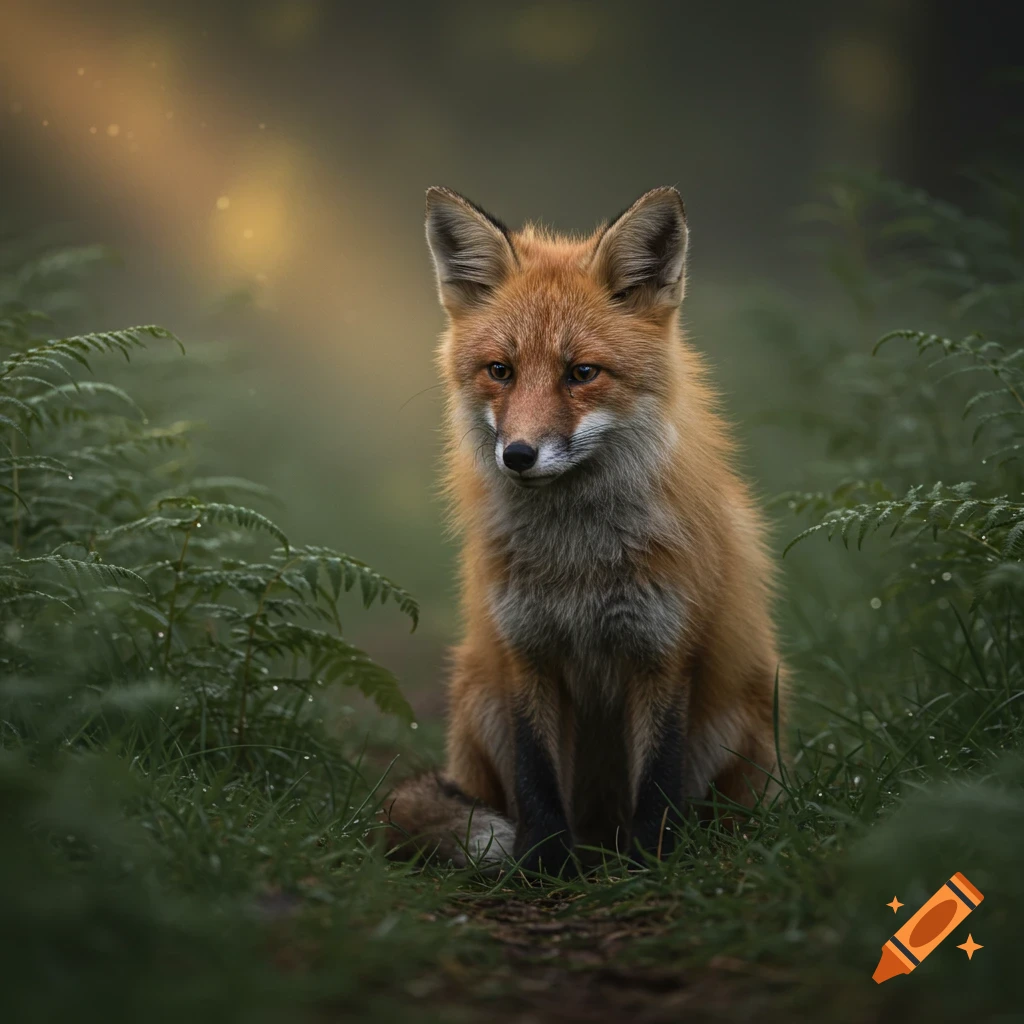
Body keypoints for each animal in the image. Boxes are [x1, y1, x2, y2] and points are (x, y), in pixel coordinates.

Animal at [383, 185, 783, 874]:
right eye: (501, 370)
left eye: (582, 373)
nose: (517, 455)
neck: (577, 562)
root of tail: (599, 826)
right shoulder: (526, 649)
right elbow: (537, 778)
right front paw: (543, 866)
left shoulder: (663, 649)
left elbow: (658, 781)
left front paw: (652, 862)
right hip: (478, 694)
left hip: (736, 716)